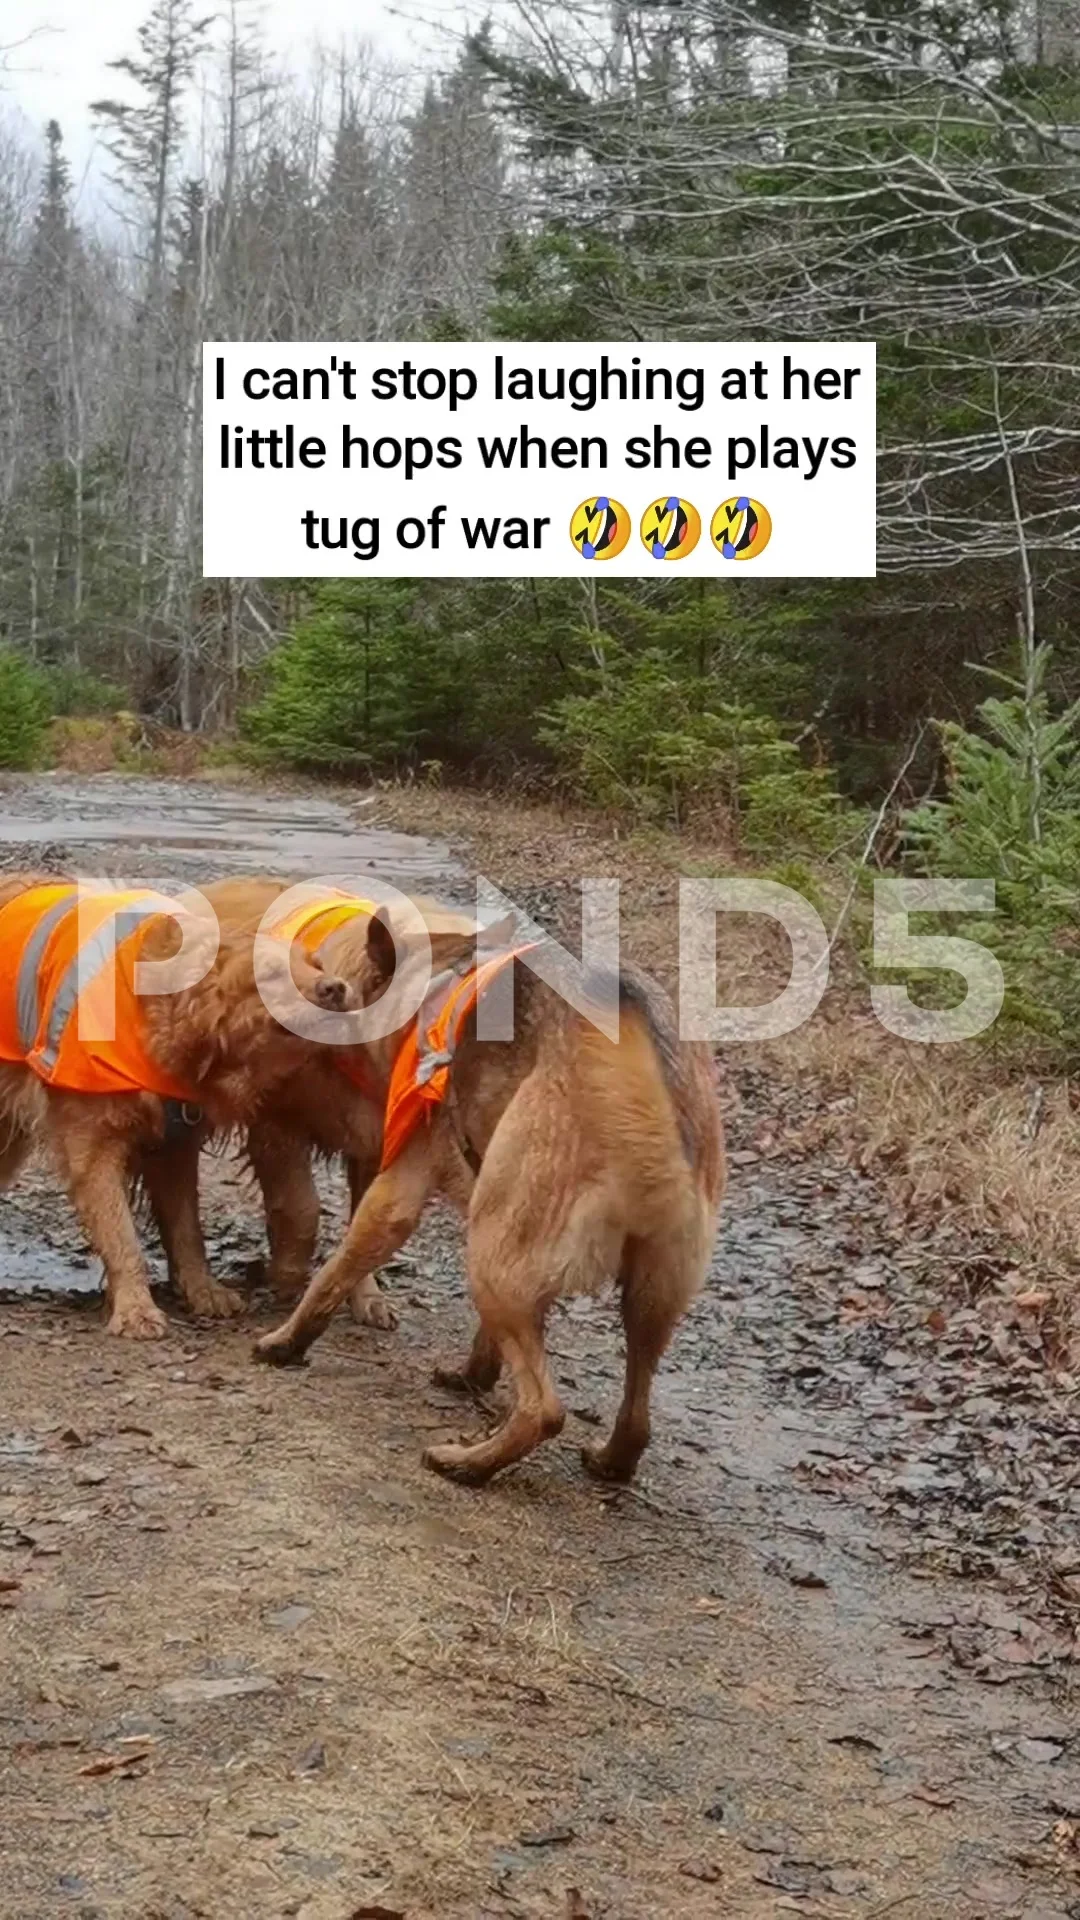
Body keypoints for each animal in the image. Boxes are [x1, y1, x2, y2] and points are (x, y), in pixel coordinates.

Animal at [0, 871, 349, 1336]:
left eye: (317, 965)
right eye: (272, 974)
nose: (337, 987)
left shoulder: (174, 1143)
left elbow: (186, 1229)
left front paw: (203, 1291)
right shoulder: (91, 1143)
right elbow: (121, 1234)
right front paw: (136, 1309)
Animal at [253, 910, 722, 1482]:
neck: (431, 973)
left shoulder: (396, 1195)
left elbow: (333, 1274)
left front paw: (287, 1341)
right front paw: (475, 1373)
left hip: (493, 1264)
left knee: (544, 1411)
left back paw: (468, 1464)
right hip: (649, 1296)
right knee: (637, 1417)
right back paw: (610, 1461)